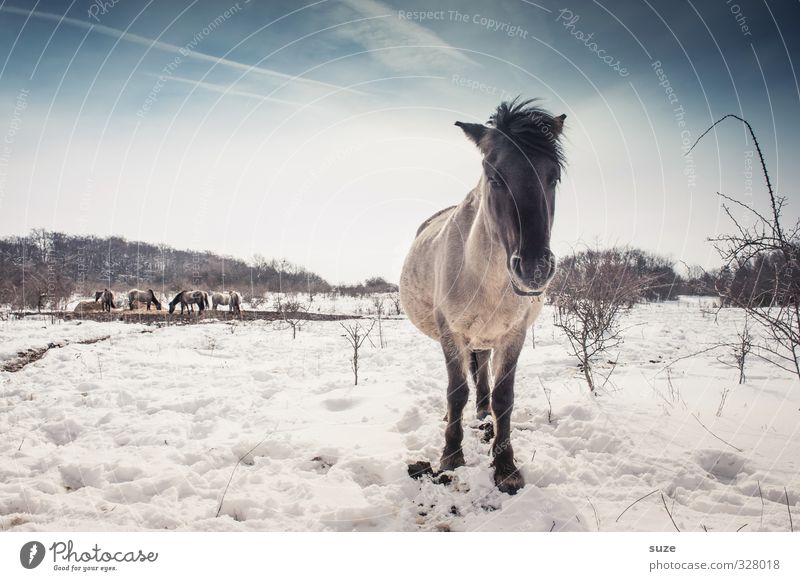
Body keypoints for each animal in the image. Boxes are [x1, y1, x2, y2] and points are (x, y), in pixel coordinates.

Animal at [398, 99, 564, 494]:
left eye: (553, 176)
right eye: (494, 177)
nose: (534, 269)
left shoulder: (513, 334)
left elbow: (504, 397)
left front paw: (505, 467)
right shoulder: (452, 333)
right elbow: (456, 390)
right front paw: (451, 455)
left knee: (483, 371)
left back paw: (483, 413)